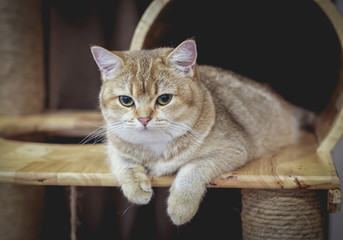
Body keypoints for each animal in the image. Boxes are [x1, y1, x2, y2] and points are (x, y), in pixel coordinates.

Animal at [90, 39, 310, 225]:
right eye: (126, 101)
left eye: (164, 99)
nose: (144, 119)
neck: (156, 147)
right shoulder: (114, 144)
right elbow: (123, 162)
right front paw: (136, 188)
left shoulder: (233, 150)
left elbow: (193, 168)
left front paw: (180, 206)